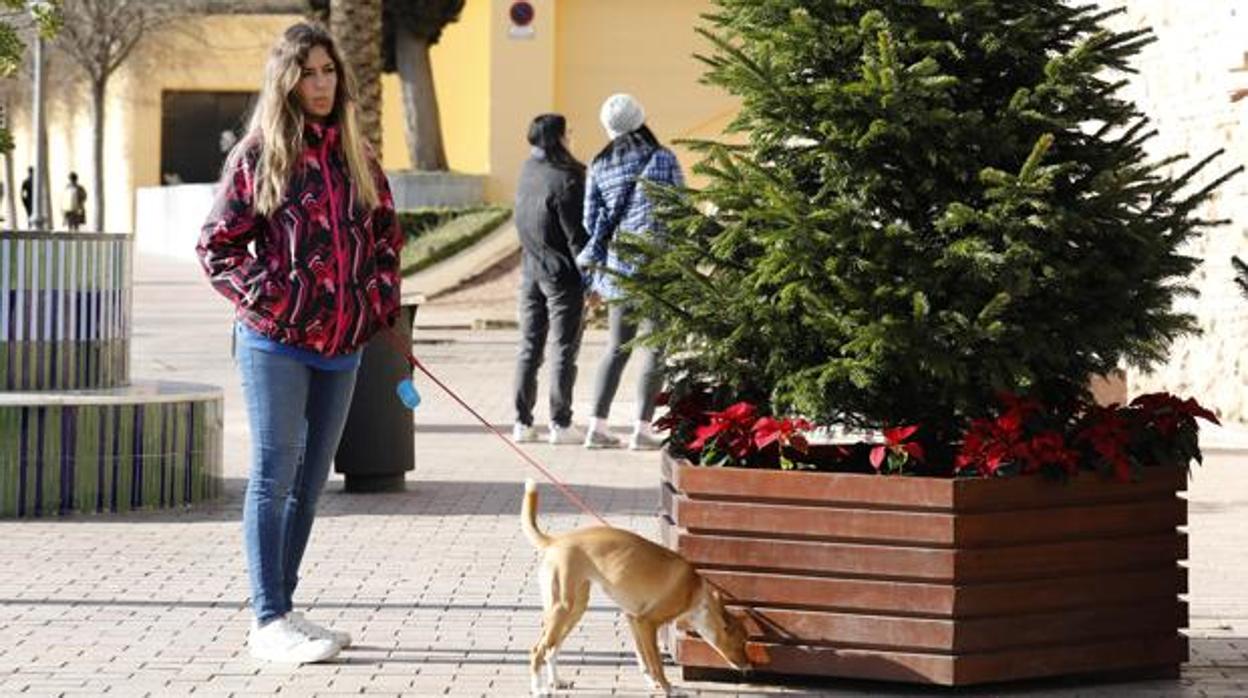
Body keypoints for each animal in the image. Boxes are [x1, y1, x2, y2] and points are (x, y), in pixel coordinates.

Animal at [519, 476, 743, 694]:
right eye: (743, 642)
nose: (747, 667)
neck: (696, 590)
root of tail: (555, 541)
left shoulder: (634, 619)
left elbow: (643, 658)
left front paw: (653, 682)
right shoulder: (647, 622)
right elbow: (656, 663)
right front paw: (668, 688)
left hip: (575, 610)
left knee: (551, 649)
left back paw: (556, 682)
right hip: (563, 608)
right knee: (538, 650)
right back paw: (538, 688)